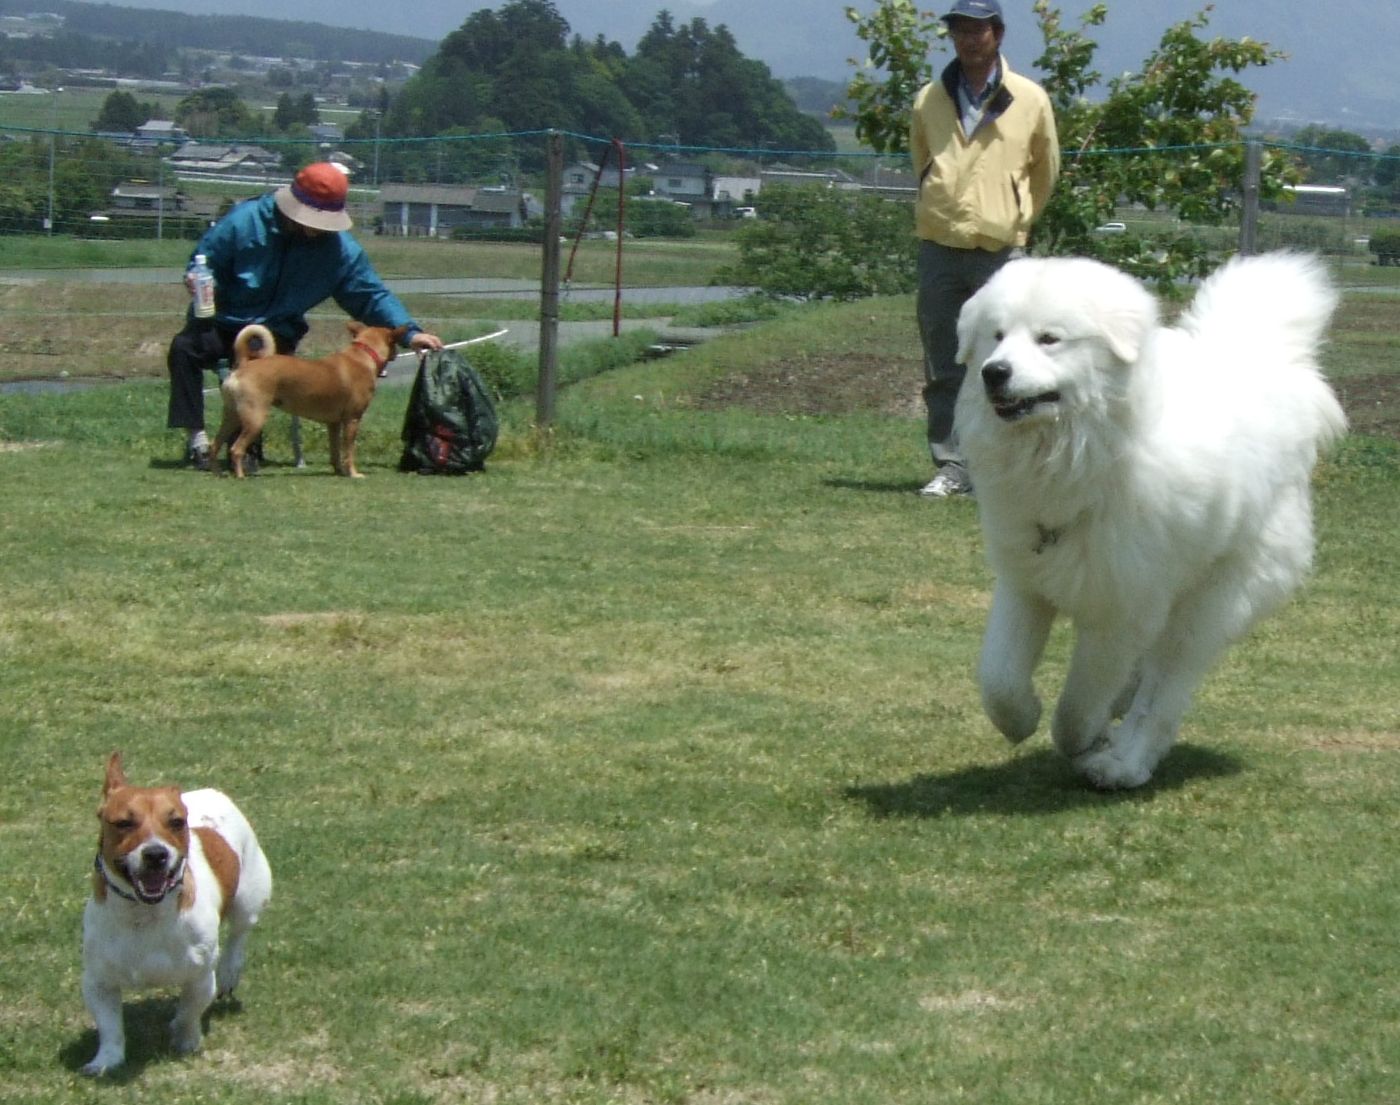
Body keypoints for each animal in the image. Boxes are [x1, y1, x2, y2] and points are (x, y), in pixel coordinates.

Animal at [80, 756, 271, 1075]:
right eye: (123, 823)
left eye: (176, 822)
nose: (156, 853)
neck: (144, 913)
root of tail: (211, 792)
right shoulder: (98, 982)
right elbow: (110, 1027)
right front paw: (106, 1060)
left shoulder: (200, 977)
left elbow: (189, 1012)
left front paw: (186, 1040)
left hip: (249, 898)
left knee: (239, 934)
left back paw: (230, 970)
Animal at [207, 319, 408, 473]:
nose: (398, 352)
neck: (364, 355)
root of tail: (243, 367)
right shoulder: (352, 420)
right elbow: (349, 451)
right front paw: (353, 473)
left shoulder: (333, 424)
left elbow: (335, 451)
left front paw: (339, 471)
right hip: (254, 418)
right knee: (236, 449)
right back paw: (240, 475)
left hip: (231, 417)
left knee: (215, 445)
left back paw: (216, 472)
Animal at [952, 252, 1344, 784]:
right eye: (996, 336)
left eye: (1049, 338)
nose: (994, 373)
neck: (1082, 452)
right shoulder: (1026, 582)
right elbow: (999, 677)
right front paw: (1020, 719)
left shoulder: (1121, 610)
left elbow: (1078, 704)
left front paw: (1083, 741)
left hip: (1209, 605)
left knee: (1160, 693)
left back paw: (1123, 764)